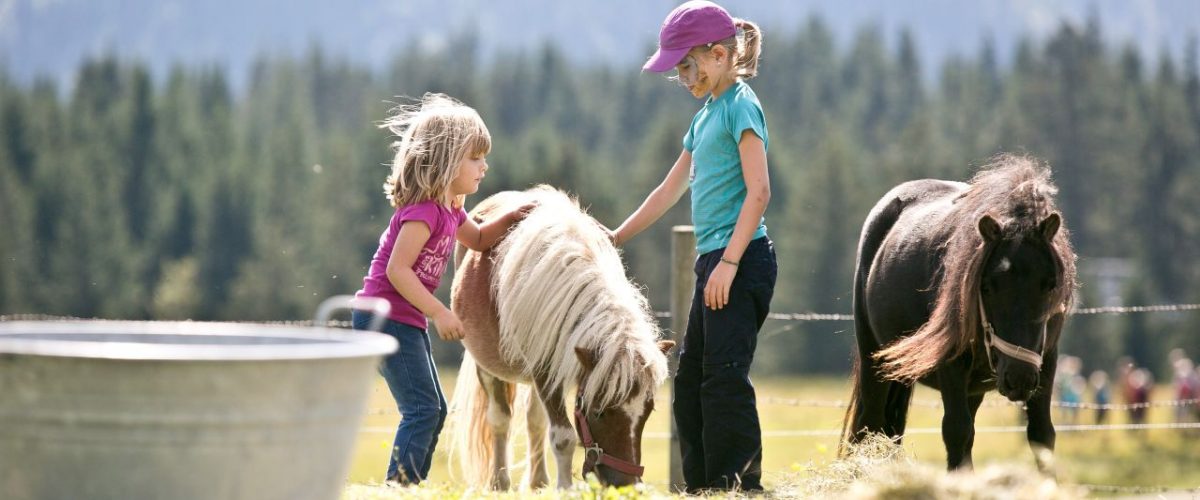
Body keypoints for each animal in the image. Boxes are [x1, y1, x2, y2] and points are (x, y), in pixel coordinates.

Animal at [451, 185, 676, 486]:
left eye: (647, 412)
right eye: (600, 412)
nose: (627, 484)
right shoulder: (545, 371)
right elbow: (563, 437)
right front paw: (566, 488)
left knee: (533, 420)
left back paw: (538, 482)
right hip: (488, 366)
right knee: (500, 419)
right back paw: (501, 482)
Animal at [844, 155, 1080, 472]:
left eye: (1050, 284)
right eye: (988, 286)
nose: (1018, 378)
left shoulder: (1046, 361)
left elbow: (1041, 434)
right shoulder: (952, 364)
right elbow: (957, 431)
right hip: (875, 364)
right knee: (868, 426)